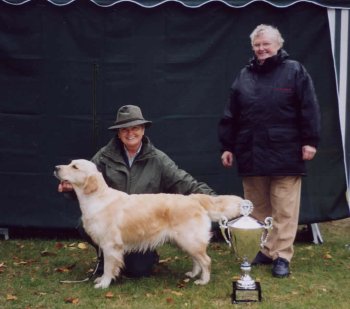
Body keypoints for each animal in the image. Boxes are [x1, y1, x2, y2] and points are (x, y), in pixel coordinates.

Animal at [54, 160, 243, 288]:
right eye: (70, 163)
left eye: (75, 167)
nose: (56, 168)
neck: (96, 198)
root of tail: (193, 198)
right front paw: (101, 279)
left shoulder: (110, 245)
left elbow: (108, 266)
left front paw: (104, 283)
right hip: (186, 241)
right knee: (197, 259)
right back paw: (193, 274)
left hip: (189, 239)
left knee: (206, 260)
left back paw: (204, 280)